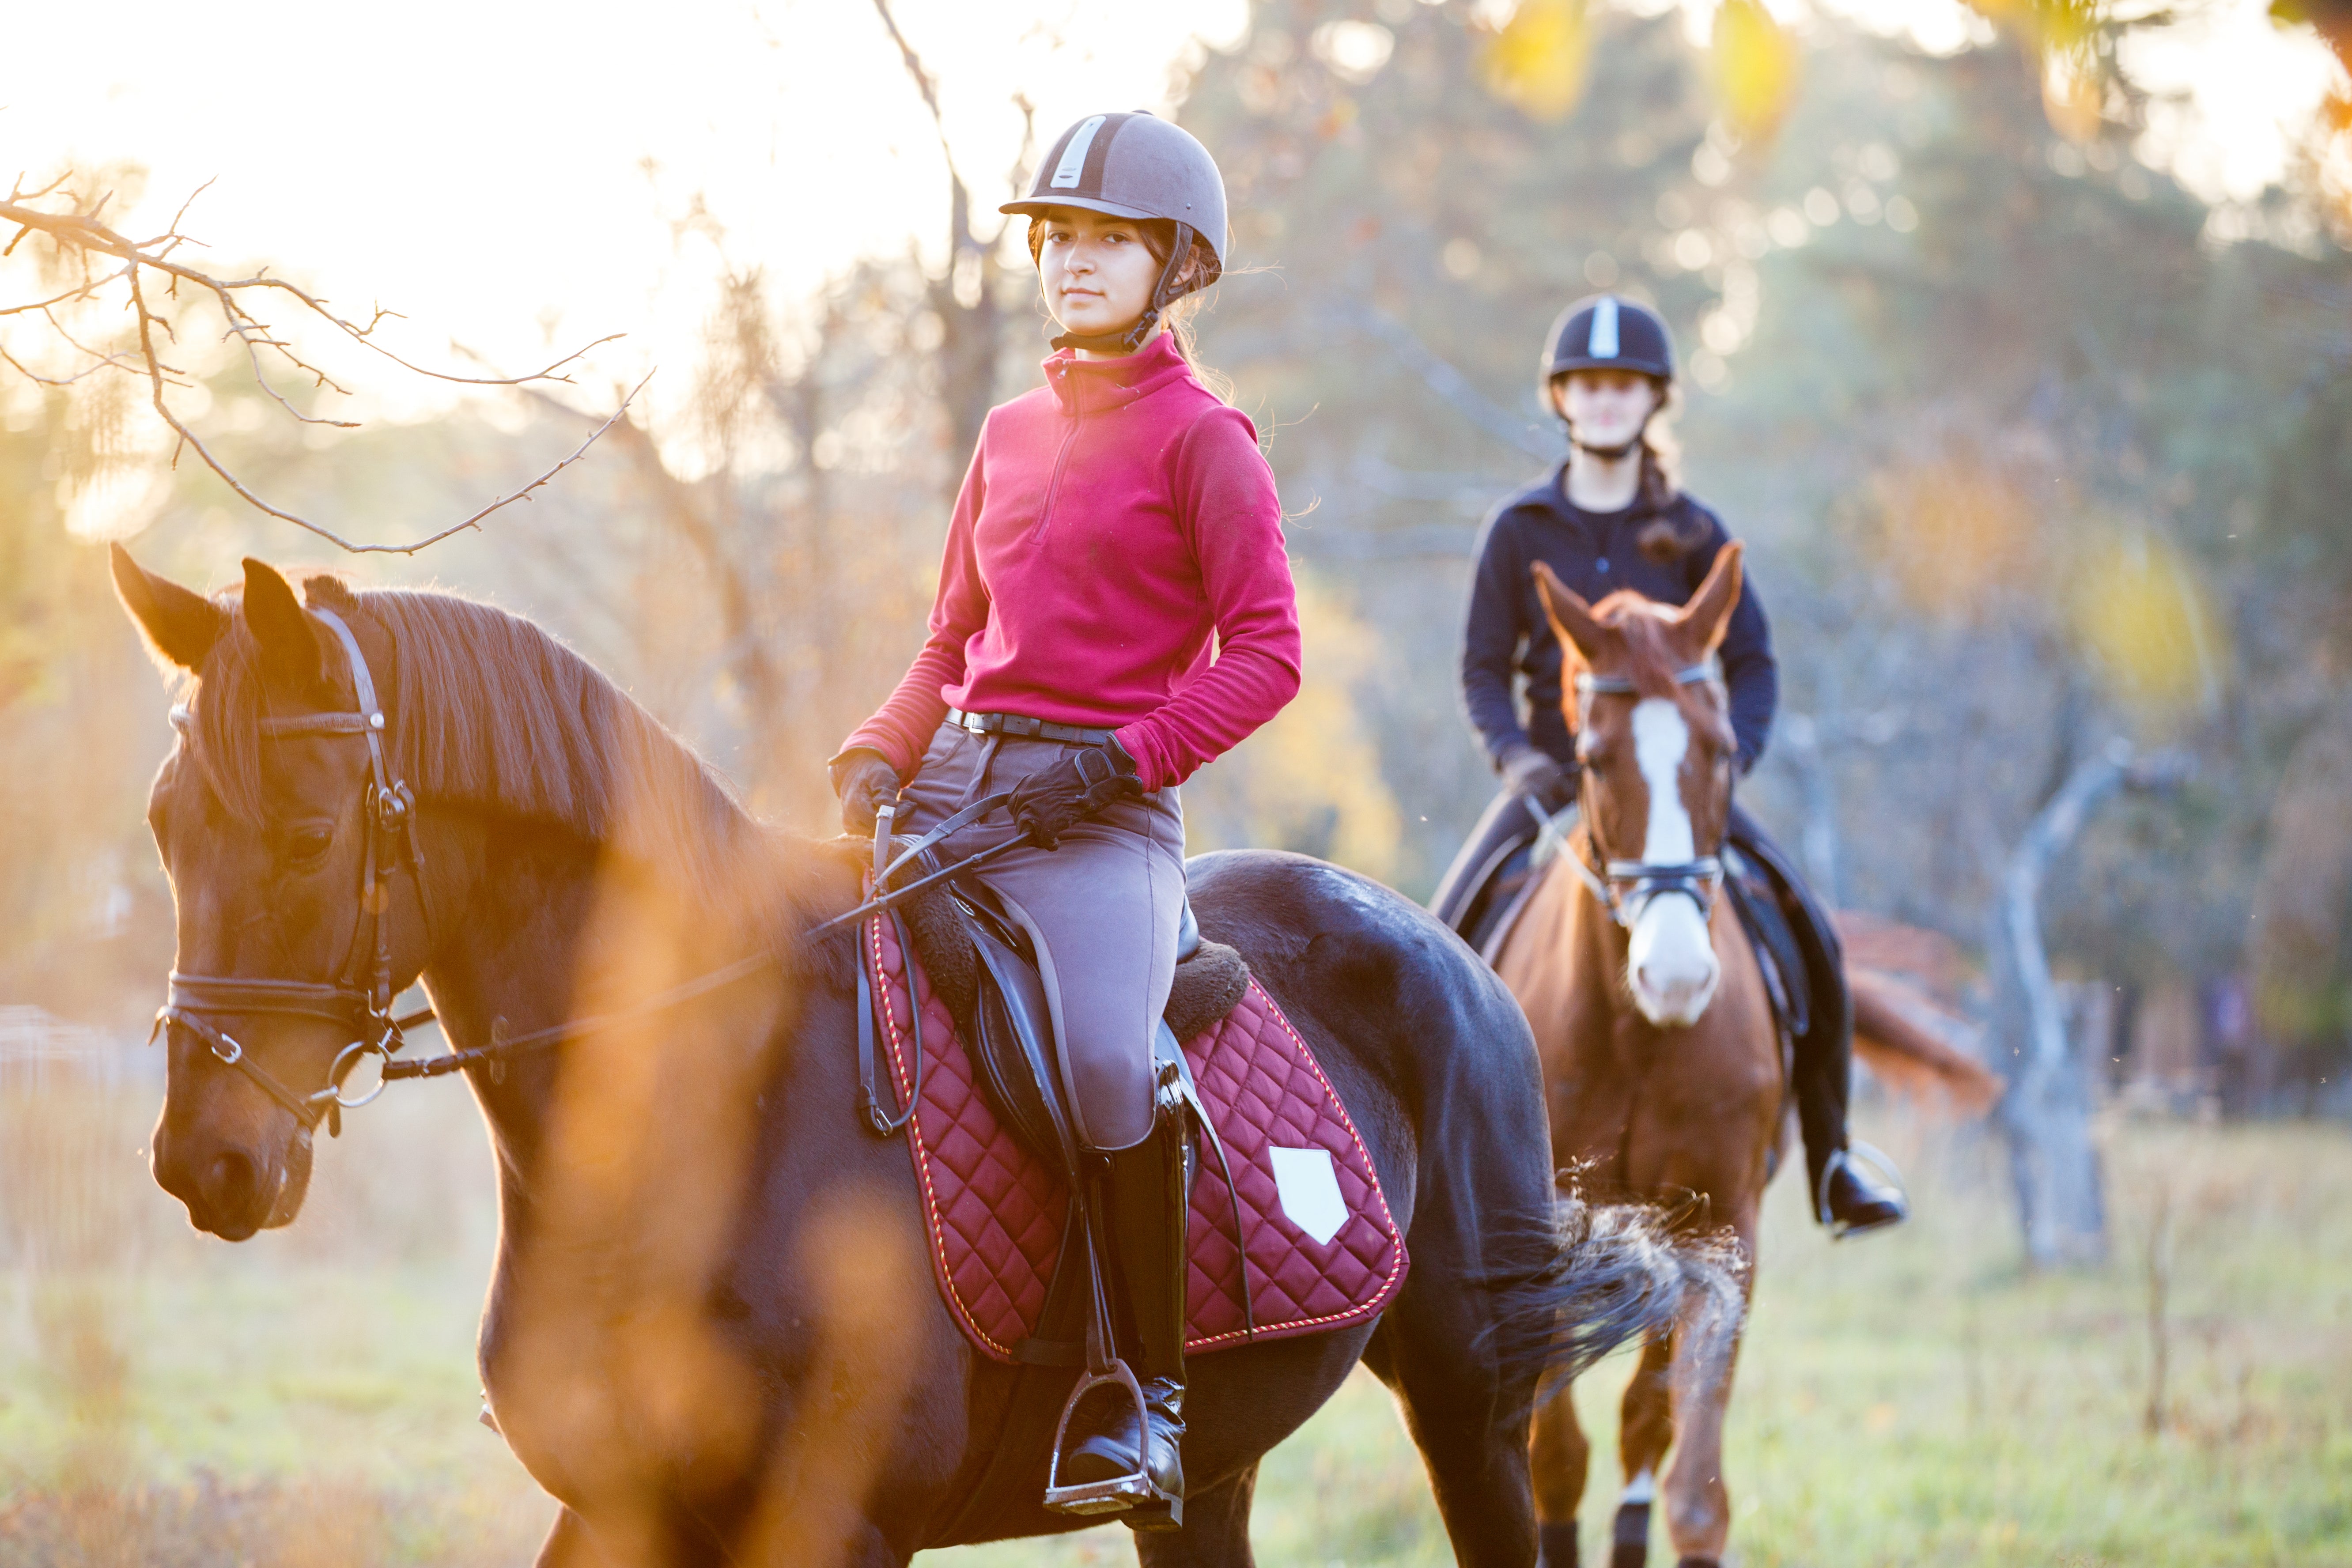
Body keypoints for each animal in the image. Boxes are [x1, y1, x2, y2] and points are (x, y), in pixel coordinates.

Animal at [114, 550, 1731, 1568]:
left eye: (308, 834)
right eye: (163, 829)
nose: (205, 1160)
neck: (709, 1100)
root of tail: (1447, 947)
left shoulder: (837, 1526)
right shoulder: (620, 1512)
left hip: (1467, 1400)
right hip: (1212, 1472)